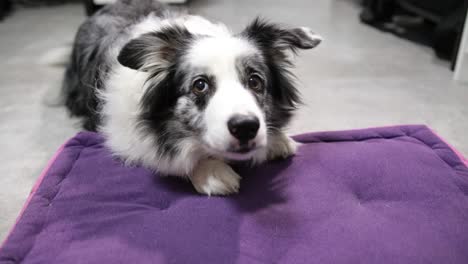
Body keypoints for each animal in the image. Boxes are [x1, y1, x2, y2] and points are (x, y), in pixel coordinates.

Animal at [64, 0, 322, 194]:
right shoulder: (125, 136)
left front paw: (277, 140)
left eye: (255, 81)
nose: (246, 127)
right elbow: (174, 158)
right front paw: (211, 171)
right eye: (200, 85)